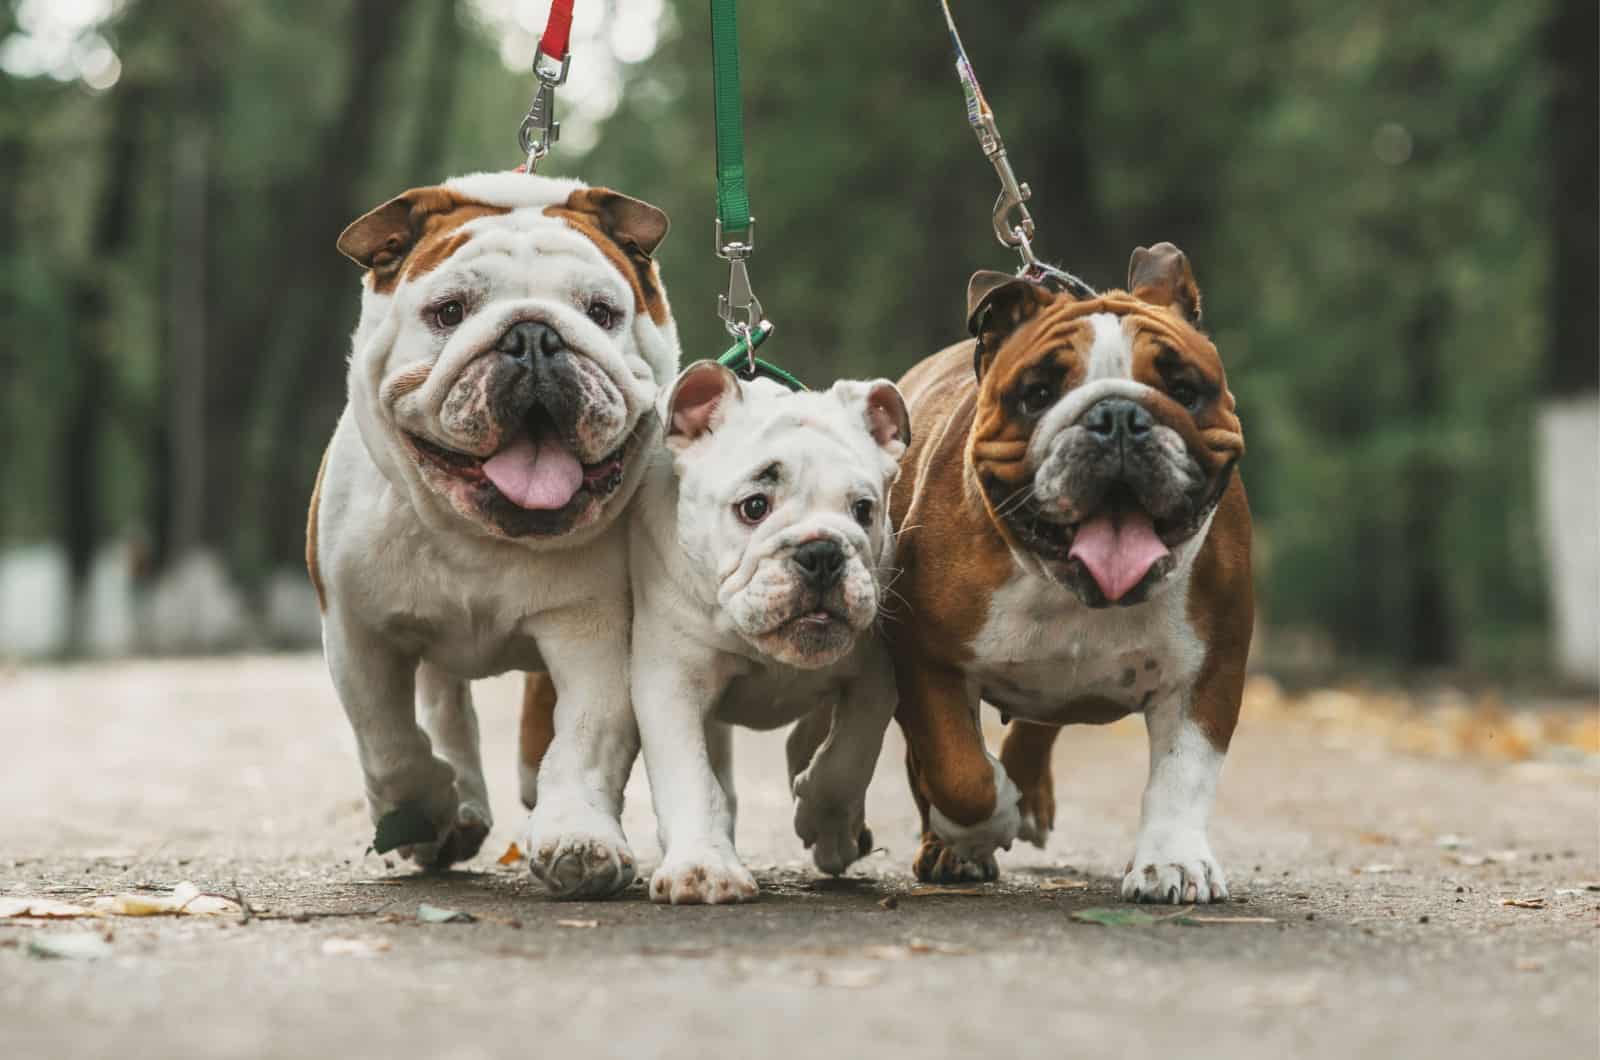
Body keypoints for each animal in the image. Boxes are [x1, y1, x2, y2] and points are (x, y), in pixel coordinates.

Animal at [305, 172, 675, 896]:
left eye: (601, 312)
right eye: (449, 312)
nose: (533, 335)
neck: (478, 536)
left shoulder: (593, 632)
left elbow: (587, 735)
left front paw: (579, 838)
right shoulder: (358, 633)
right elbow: (388, 739)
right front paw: (422, 810)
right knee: (443, 704)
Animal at [633, 363, 915, 903]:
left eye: (864, 510)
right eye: (754, 507)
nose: (822, 552)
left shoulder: (875, 671)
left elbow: (851, 751)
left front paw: (826, 819)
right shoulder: (671, 681)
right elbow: (690, 775)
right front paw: (703, 865)